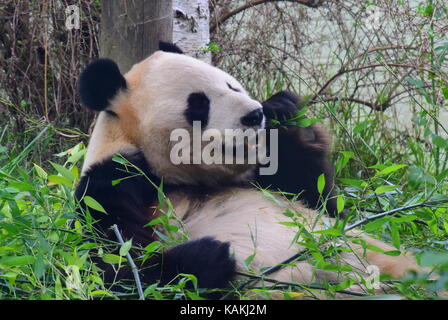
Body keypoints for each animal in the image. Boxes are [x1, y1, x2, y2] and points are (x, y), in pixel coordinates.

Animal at [74, 42, 420, 298]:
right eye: (198, 104)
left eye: (233, 86)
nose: (254, 115)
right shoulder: (113, 180)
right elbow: (114, 267)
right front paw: (210, 256)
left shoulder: (270, 181)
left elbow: (323, 203)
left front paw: (282, 111)